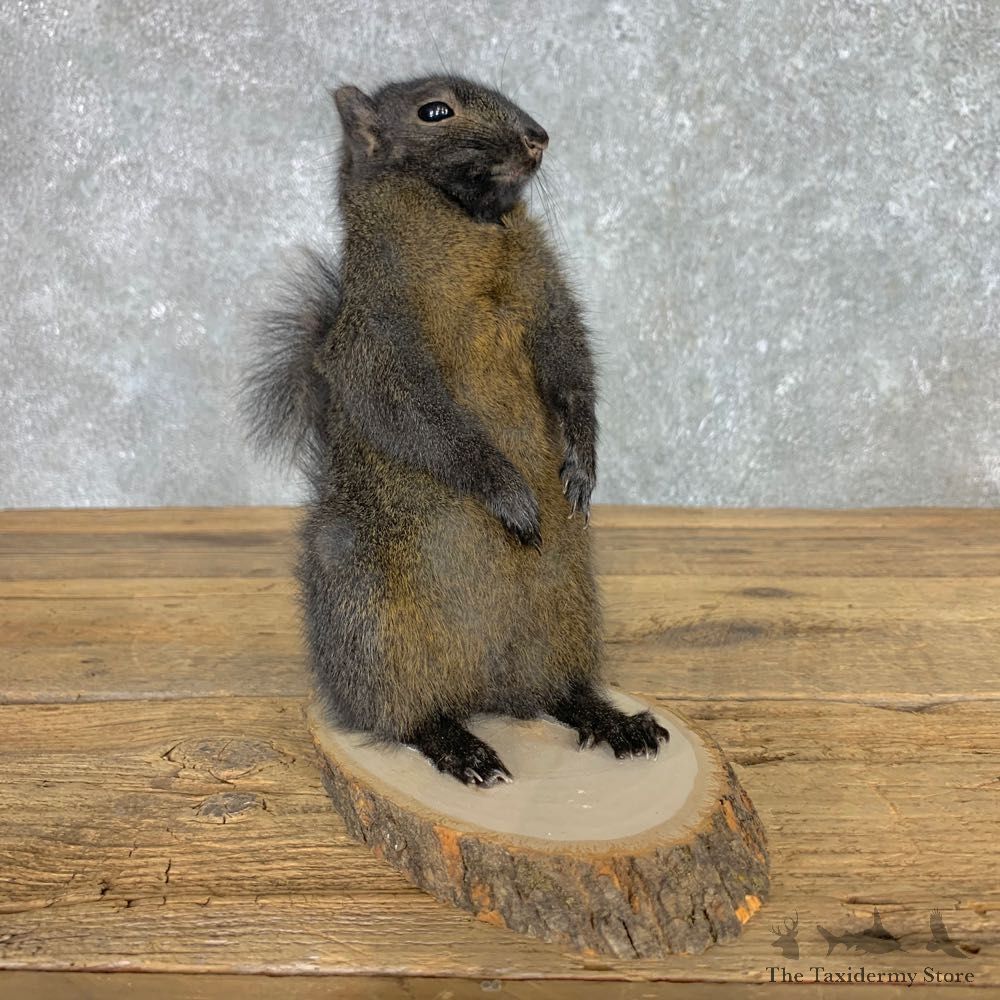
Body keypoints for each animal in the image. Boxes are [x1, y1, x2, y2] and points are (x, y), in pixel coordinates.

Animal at [242, 74, 668, 787]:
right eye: (434, 111)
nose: (537, 137)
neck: (473, 228)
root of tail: (483, 690)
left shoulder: (547, 297)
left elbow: (572, 369)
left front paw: (582, 465)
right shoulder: (377, 340)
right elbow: (422, 420)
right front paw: (510, 493)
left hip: (566, 617)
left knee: (557, 695)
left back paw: (611, 719)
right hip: (375, 632)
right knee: (405, 719)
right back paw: (459, 747)